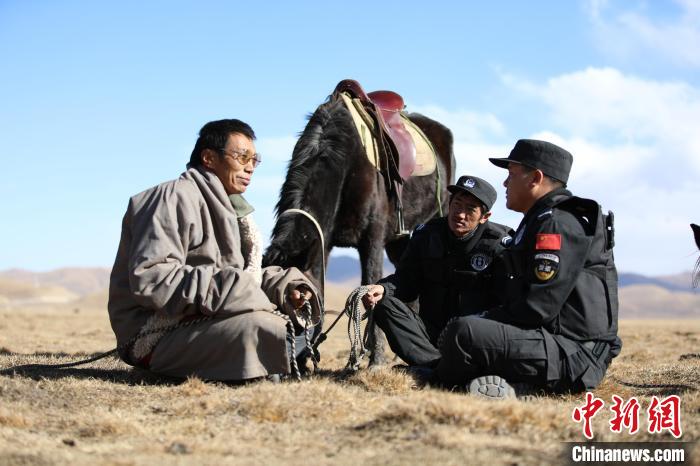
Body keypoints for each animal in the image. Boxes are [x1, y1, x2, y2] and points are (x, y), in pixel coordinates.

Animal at [262, 93, 454, 364]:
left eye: (301, 306)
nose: (290, 361)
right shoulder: (324, 242)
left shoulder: (372, 240)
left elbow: (370, 289)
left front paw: (376, 360)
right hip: (400, 241)